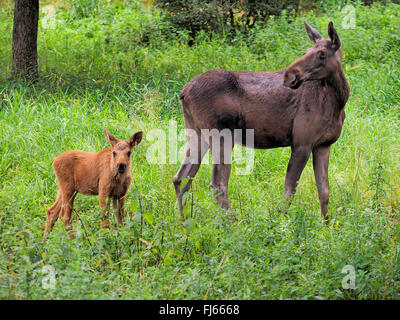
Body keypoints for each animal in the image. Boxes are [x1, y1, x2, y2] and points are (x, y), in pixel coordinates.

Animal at [173, 21, 348, 222]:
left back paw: (184, 223)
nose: (289, 76)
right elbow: (289, 192)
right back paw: (235, 225)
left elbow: (324, 192)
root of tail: (183, 93)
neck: (339, 102)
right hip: (220, 135)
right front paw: (280, 225)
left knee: (181, 179)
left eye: (322, 54)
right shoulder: (301, 142)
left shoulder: (324, 144)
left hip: (196, 132)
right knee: (217, 184)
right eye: (305, 51)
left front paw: (327, 226)